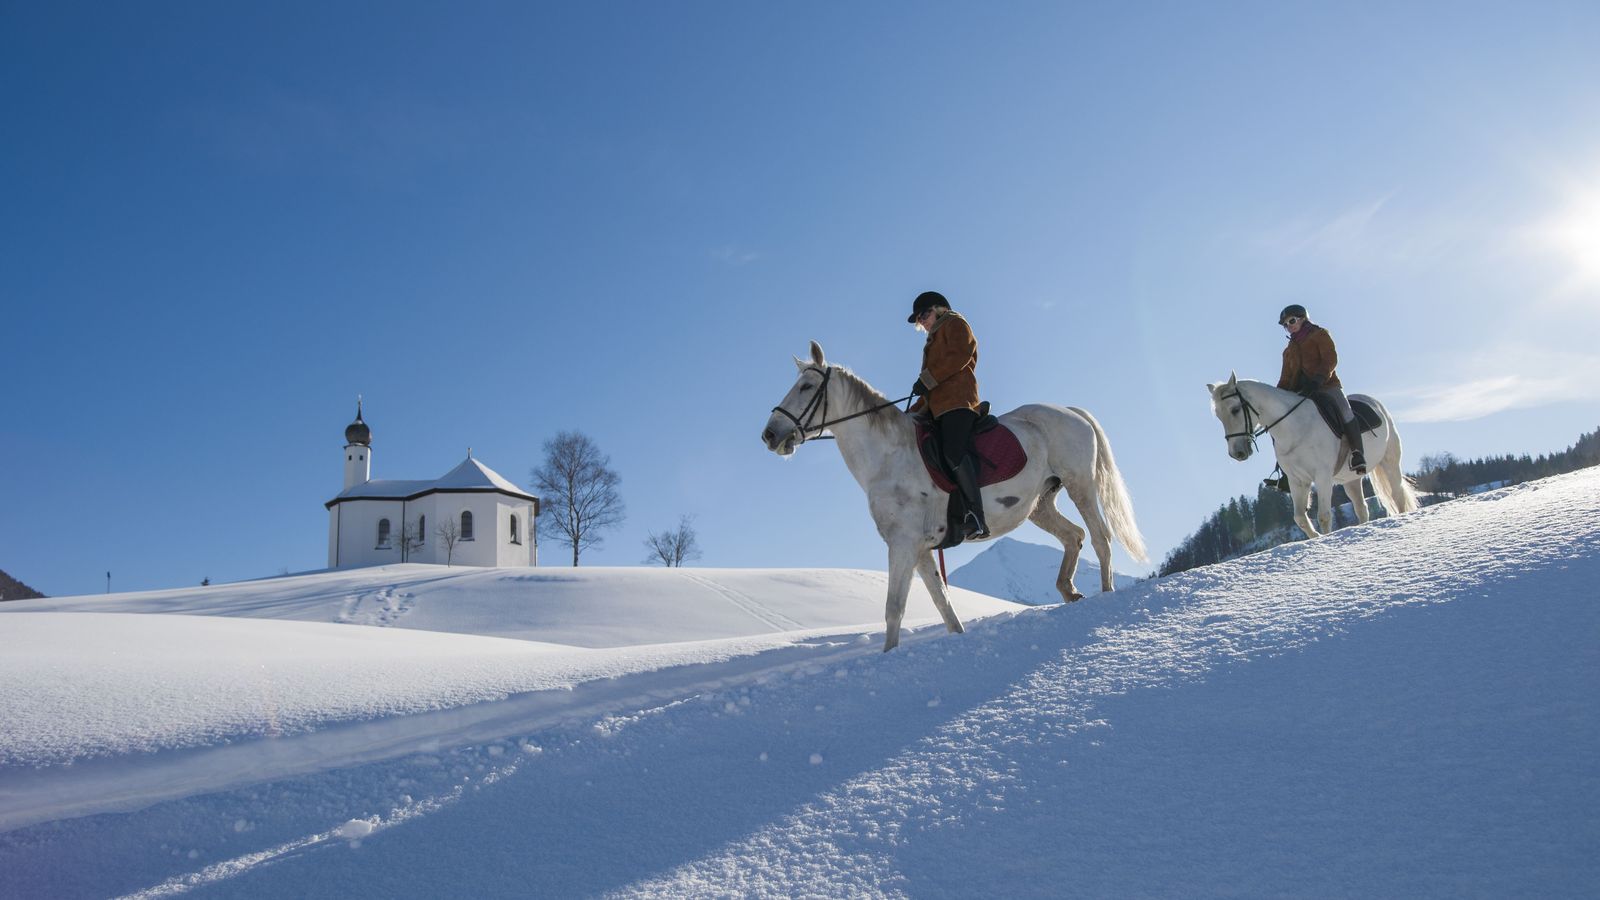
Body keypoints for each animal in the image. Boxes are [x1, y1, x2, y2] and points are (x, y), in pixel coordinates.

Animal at [758, 339, 1145, 646]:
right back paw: (1068, 589)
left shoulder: (903, 545)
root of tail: (1070, 411)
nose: (770, 435)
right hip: (1041, 505)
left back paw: (1104, 594)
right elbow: (943, 604)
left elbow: (894, 608)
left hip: (1081, 486)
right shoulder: (920, 549)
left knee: (1100, 539)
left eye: (807, 386)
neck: (888, 457)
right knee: (1074, 536)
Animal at [1203, 369, 1420, 534]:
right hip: (1350, 480)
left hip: (1390, 462)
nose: (1237, 453)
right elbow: (1300, 518)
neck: (1295, 427)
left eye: (1235, 410)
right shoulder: (1297, 481)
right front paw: (1315, 538)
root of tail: (1374, 402)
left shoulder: (1322, 476)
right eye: (1218, 415)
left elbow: (1323, 516)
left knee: (1397, 496)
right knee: (1361, 508)